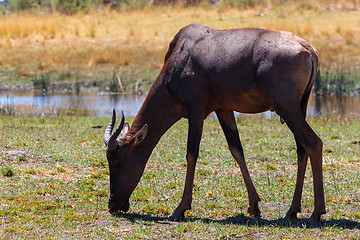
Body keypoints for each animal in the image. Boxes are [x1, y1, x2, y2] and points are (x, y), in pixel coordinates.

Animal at [102, 23, 324, 223]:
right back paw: (292, 211)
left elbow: (191, 153)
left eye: (116, 160)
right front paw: (254, 206)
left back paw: (316, 213)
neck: (183, 52)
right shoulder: (223, 108)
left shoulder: (196, 108)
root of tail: (308, 49)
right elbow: (236, 150)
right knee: (301, 149)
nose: (113, 206)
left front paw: (180, 209)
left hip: (286, 107)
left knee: (313, 143)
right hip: (299, 107)